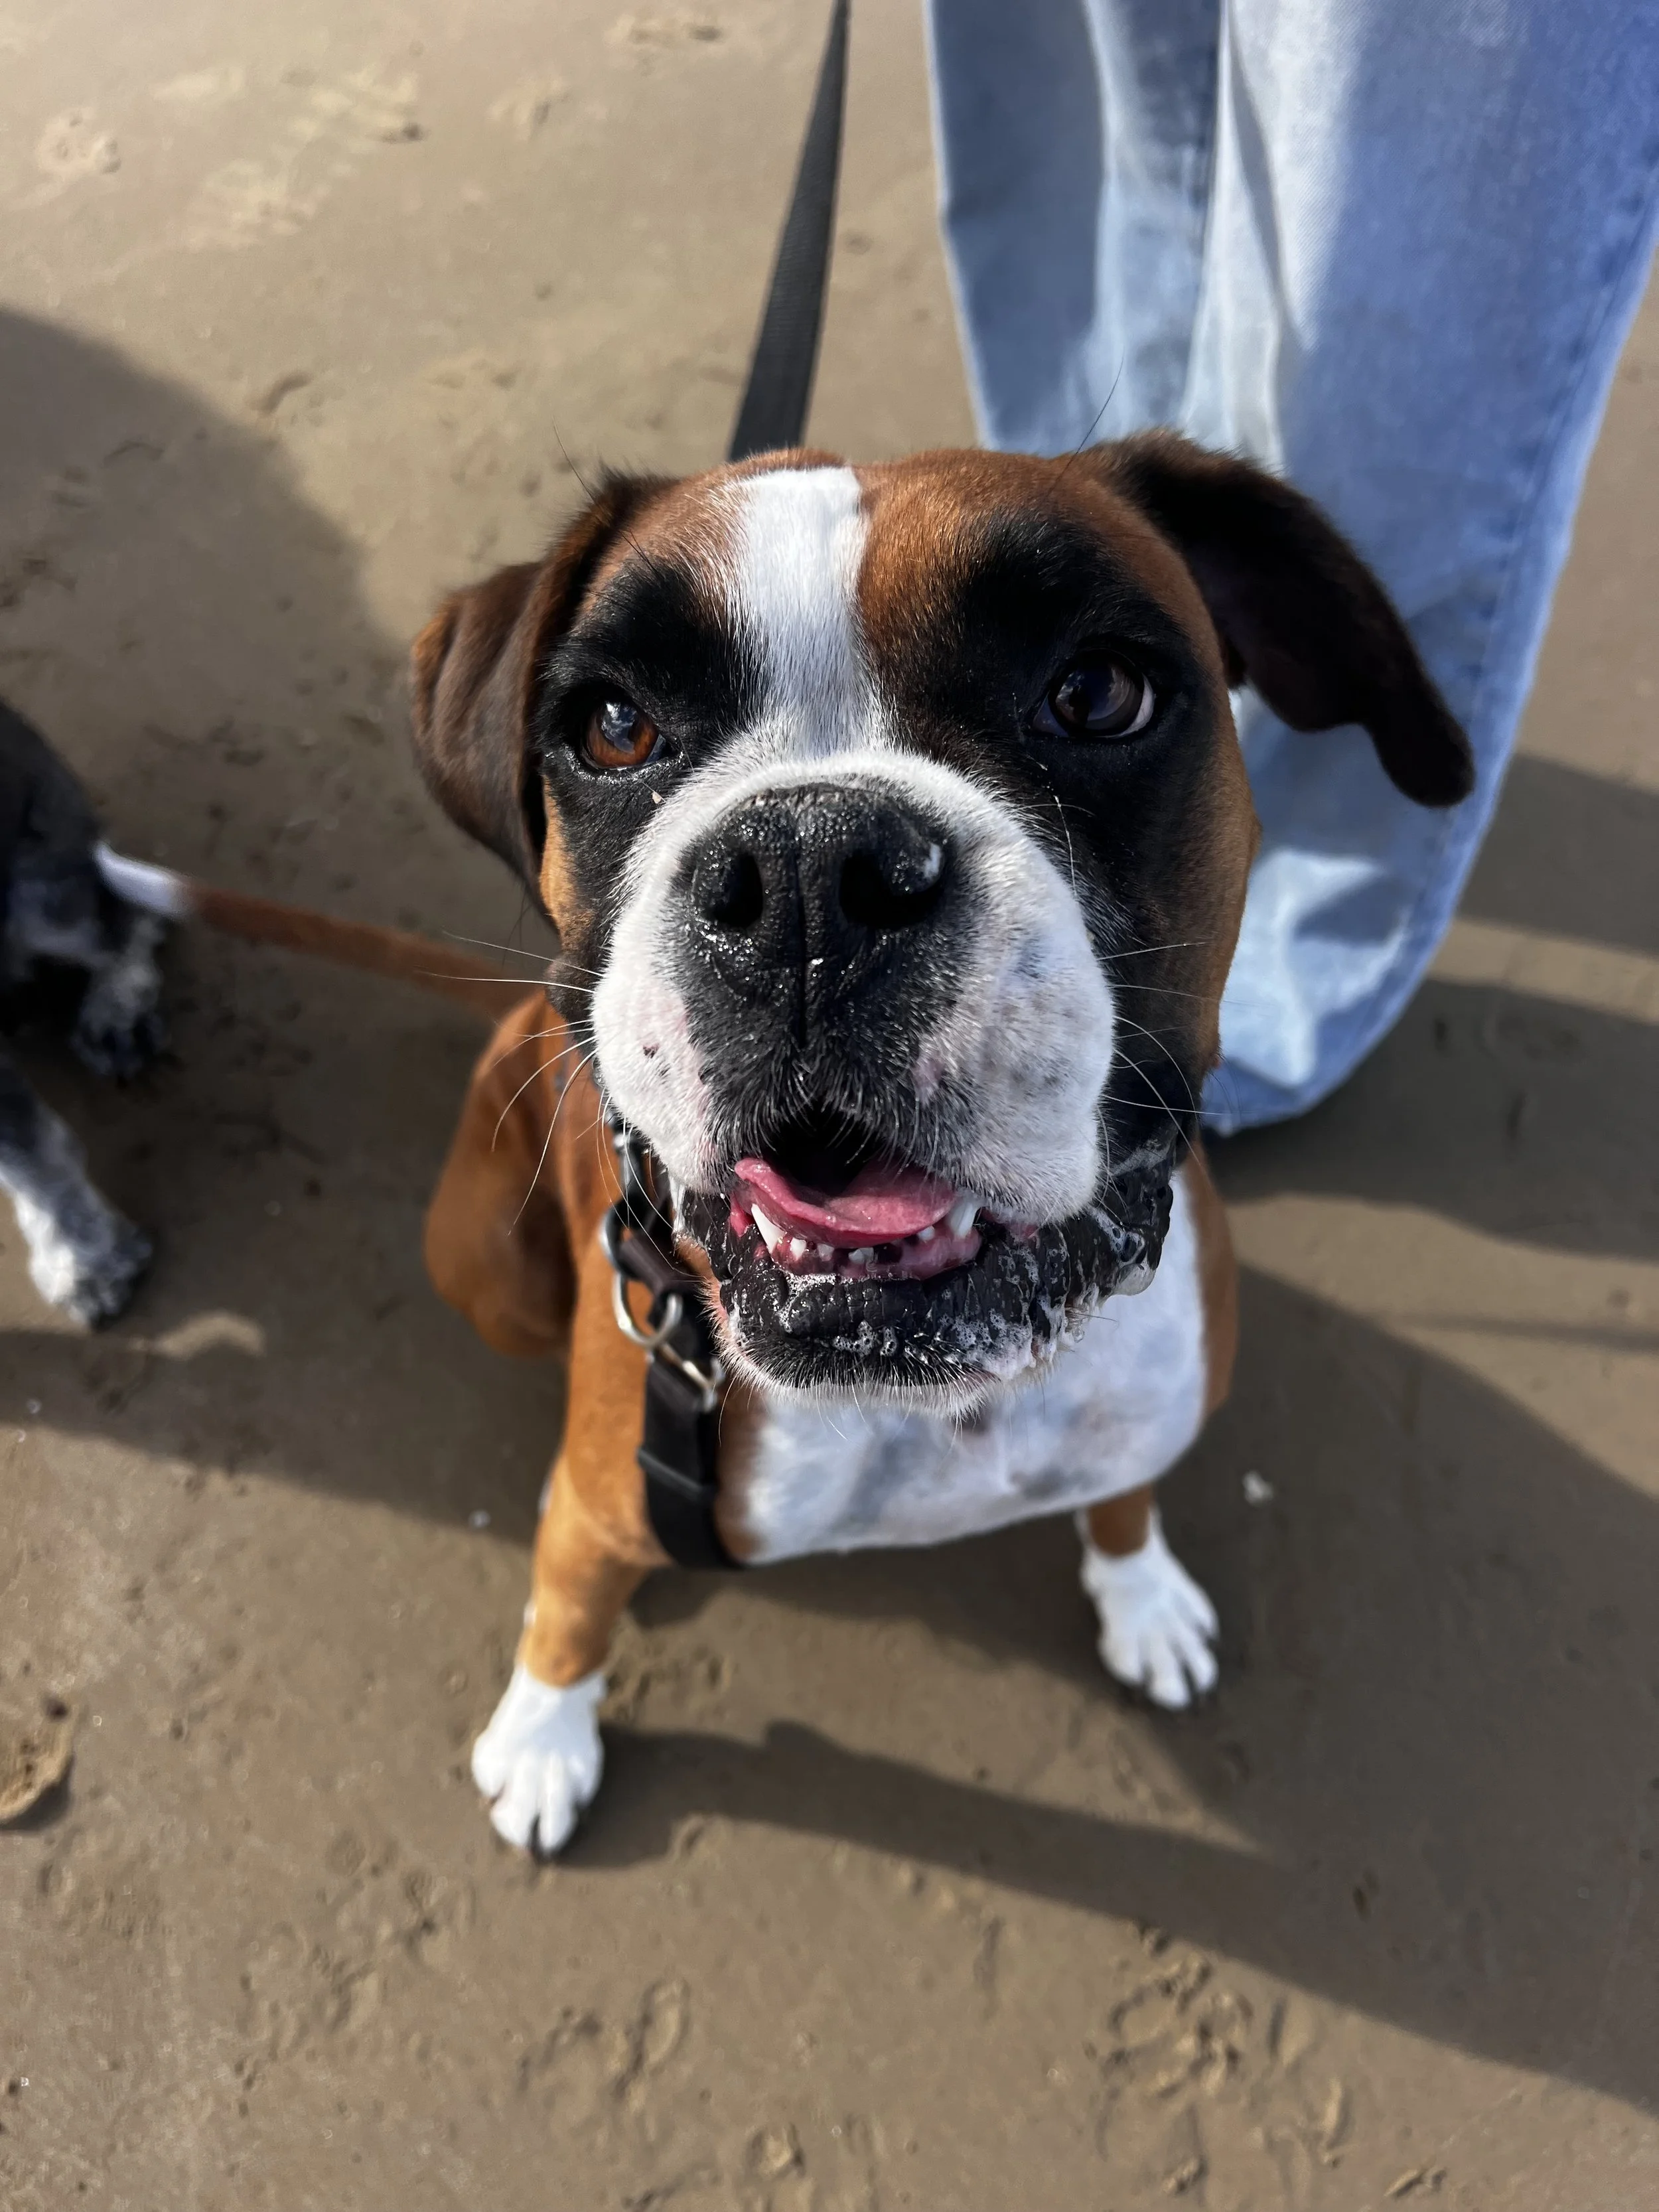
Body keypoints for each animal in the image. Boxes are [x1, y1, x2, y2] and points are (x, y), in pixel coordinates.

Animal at [409, 436, 1472, 1854]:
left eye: (1100, 692)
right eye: (615, 728)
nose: (808, 870)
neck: (945, 1400)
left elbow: (1125, 1493)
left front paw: (1140, 1591)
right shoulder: (607, 1495)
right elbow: (573, 1603)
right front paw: (542, 1733)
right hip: (488, 1269)